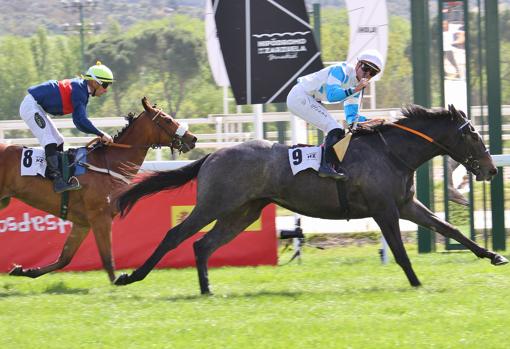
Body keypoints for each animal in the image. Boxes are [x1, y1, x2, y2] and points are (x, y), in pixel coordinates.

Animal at [1, 96, 197, 282]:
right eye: (167, 120)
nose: (193, 138)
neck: (109, 163)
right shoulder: (100, 218)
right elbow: (107, 259)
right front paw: (119, 282)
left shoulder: (82, 223)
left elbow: (64, 258)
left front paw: (23, 270)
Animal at [113, 104, 508, 294]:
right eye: (472, 135)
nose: (491, 169)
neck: (391, 151)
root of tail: (213, 154)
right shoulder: (384, 209)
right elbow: (398, 250)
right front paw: (416, 282)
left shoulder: (406, 205)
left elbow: (449, 229)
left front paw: (493, 255)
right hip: (214, 204)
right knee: (176, 236)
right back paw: (130, 277)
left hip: (243, 212)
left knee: (203, 245)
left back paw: (207, 289)